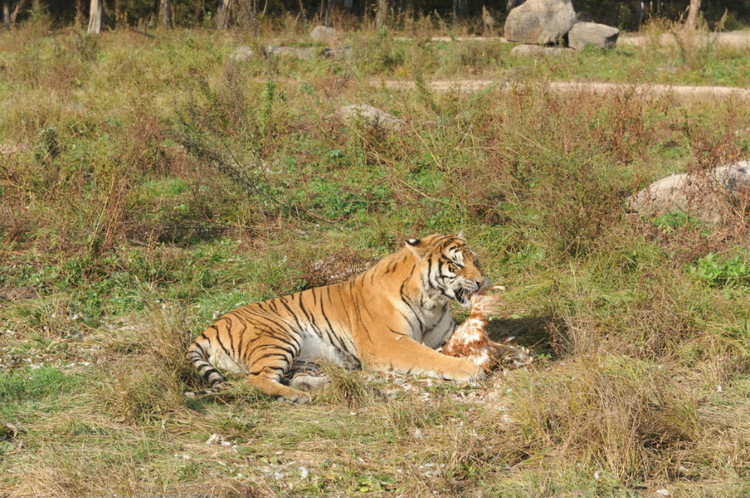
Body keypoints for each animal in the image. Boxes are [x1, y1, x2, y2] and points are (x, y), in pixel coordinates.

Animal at [189, 231, 488, 402]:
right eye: (456, 263)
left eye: (475, 260)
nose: (482, 281)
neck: (433, 302)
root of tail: (212, 326)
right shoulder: (389, 343)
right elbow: (431, 357)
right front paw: (471, 369)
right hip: (279, 337)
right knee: (256, 380)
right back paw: (299, 397)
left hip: (305, 358)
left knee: (289, 377)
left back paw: (325, 385)